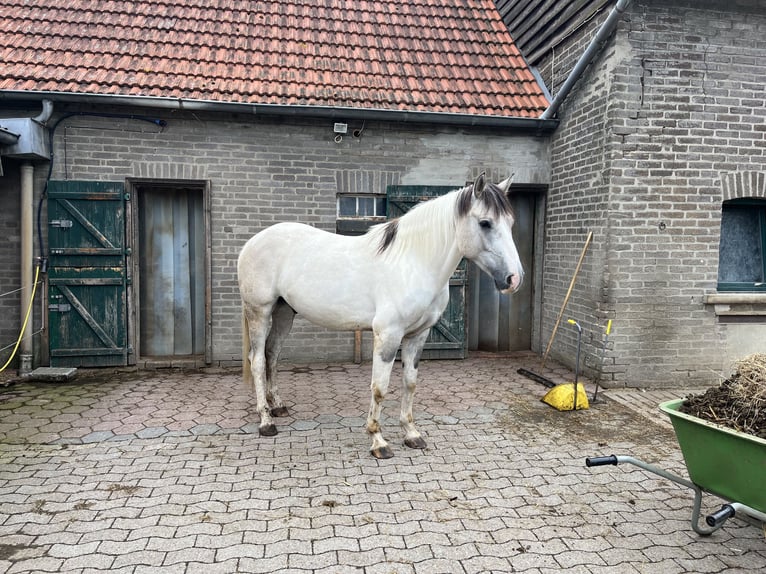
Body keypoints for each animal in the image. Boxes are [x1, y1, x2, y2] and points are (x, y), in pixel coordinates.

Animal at [240, 173, 524, 462]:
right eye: (485, 223)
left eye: (510, 223)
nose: (513, 279)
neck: (413, 262)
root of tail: (252, 242)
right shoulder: (388, 335)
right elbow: (380, 387)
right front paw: (378, 440)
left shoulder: (418, 336)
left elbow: (410, 383)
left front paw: (411, 434)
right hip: (259, 311)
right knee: (257, 360)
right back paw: (266, 421)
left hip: (284, 312)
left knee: (272, 355)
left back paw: (278, 406)